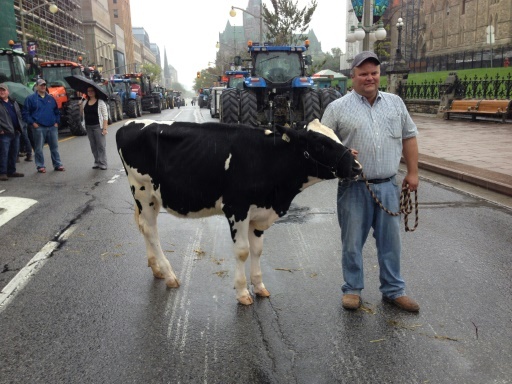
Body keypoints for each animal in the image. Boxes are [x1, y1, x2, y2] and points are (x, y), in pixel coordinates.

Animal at [117, 118, 362, 304]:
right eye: (320, 144)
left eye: (336, 136)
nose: (357, 166)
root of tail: (128, 125)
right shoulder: (237, 209)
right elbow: (243, 251)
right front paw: (243, 292)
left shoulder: (260, 213)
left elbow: (258, 250)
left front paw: (259, 286)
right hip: (143, 192)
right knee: (151, 231)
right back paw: (169, 275)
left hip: (153, 197)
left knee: (145, 227)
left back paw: (156, 268)